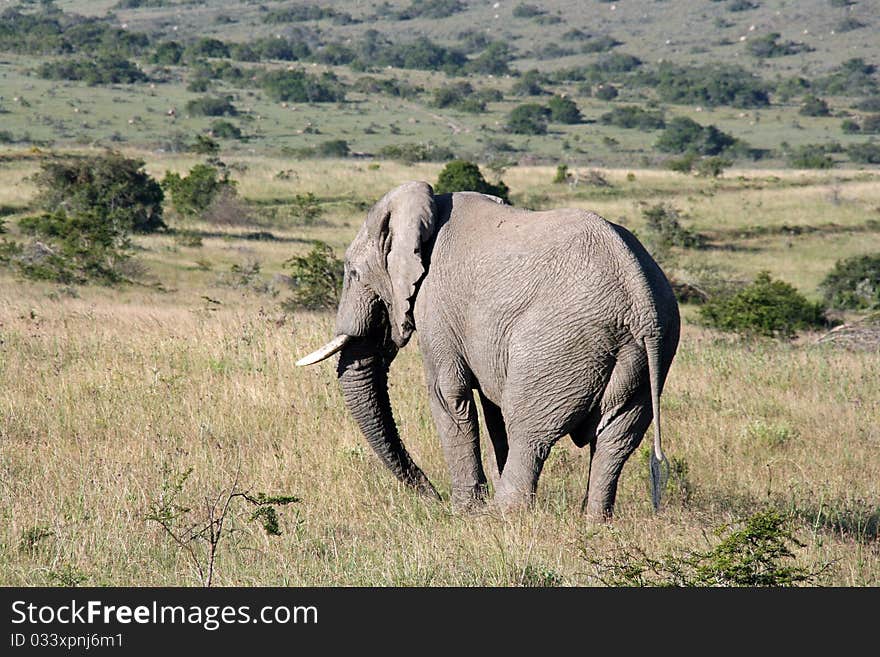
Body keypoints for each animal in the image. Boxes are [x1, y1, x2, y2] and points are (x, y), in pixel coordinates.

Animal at [298, 181, 680, 516]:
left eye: (352, 273)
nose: (431, 494)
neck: (427, 208)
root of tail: (640, 297)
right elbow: (491, 409)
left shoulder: (436, 303)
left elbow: (447, 394)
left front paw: (464, 511)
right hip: (644, 357)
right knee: (616, 439)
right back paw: (594, 521)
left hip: (560, 344)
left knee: (529, 431)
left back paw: (501, 515)